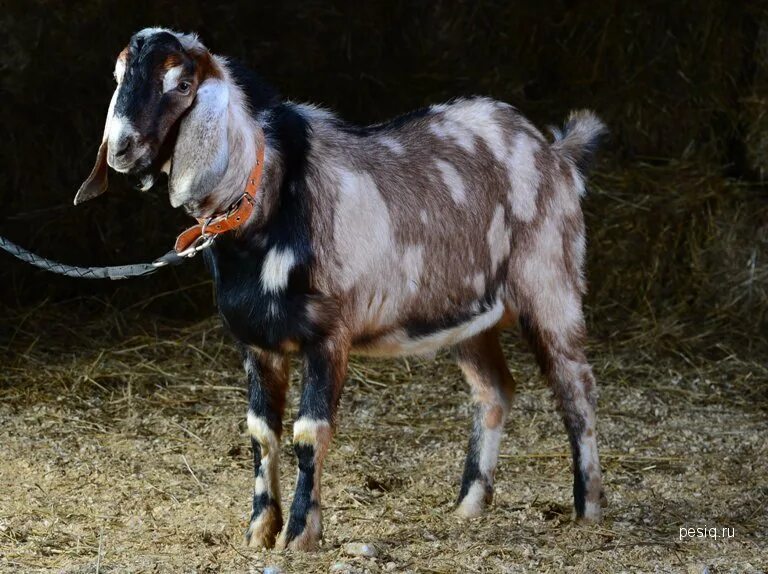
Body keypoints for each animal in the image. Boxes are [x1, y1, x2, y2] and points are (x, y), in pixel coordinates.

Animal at [76, 29, 608, 552]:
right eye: (120, 77)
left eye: (182, 85)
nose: (121, 149)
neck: (269, 200)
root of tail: (555, 152)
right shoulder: (256, 341)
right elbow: (261, 433)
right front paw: (259, 531)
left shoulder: (329, 335)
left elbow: (309, 433)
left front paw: (299, 535)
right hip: (468, 315)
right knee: (494, 391)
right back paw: (470, 505)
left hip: (550, 284)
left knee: (575, 387)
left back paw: (589, 508)